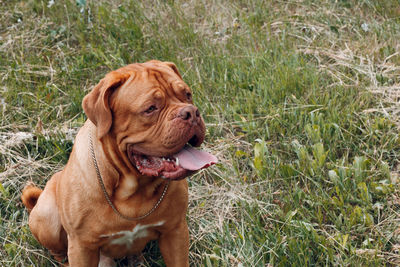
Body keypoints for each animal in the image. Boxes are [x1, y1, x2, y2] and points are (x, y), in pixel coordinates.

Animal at [20, 59, 217, 266]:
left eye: (187, 95)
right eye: (150, 108)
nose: (192, 112)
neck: (133, 190)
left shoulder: (175, 231)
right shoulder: (82, 246)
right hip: (47, 217)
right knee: (57, 250)